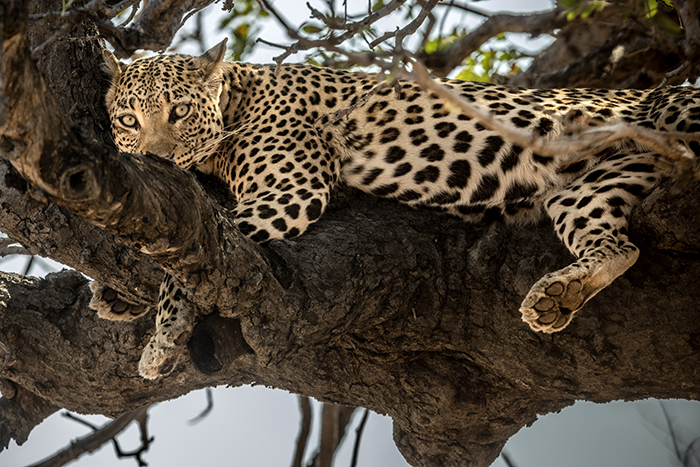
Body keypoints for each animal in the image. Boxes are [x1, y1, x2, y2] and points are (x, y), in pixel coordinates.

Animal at [91, 38, 700, 379]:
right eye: (128, 121)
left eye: (178, 111)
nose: (157, 160)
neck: (240, 94)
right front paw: (117, 295)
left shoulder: (289, 192)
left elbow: (177, 270)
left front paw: (161, 340)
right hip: (588, 188)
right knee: (621, 246)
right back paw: (560, 295)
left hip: (672, 112)